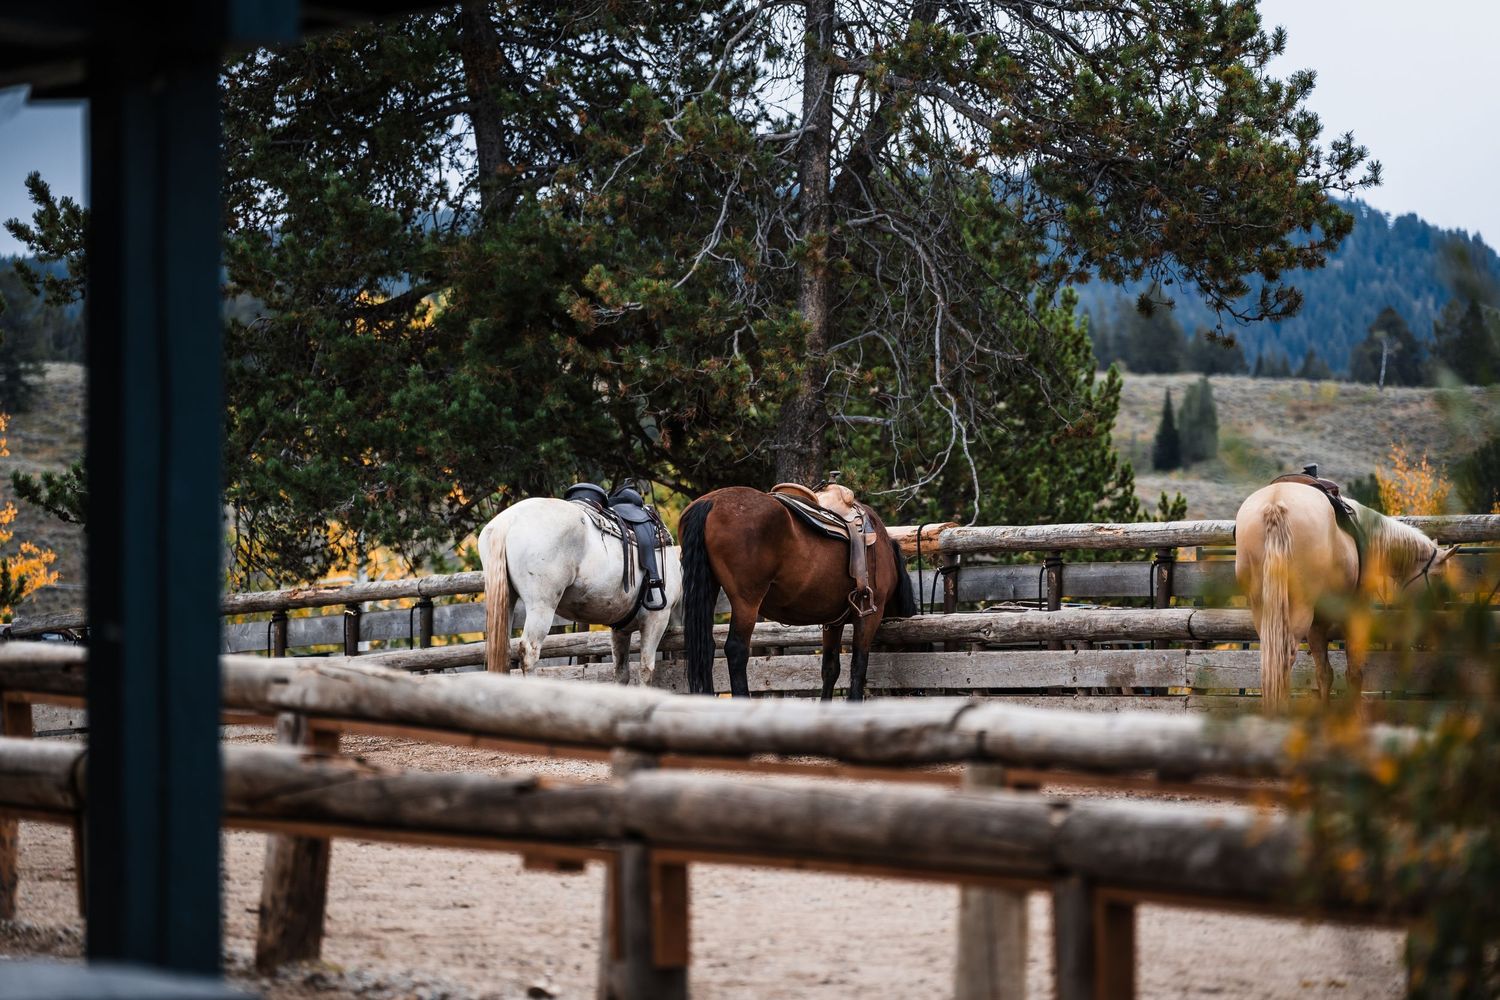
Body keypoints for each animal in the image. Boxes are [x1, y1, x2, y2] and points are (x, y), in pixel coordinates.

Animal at [478, 497, 682, 685]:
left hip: (506, 602)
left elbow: (621, 672)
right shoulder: (656, 619)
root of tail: (508, 521)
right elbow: (646, 670)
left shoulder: (620, 630)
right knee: (529, 651)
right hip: (541, 606)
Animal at [678, 485, 918, 700]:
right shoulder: (869, 616)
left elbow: (830, 669)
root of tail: (710, 502)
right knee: (736, 650)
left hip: (709, 588)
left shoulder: (833, 622)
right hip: (746, 600)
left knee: (705, 647)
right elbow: (858, 667)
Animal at [1235, 482, 1458, 713]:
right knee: (1284, 657)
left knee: (1271, 658)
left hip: (1263, 608)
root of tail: (1275, 503)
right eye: (1440, 579)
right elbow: (1353, 672)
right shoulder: (1355, 614)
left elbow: (1324, 673)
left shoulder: (1317, 624)